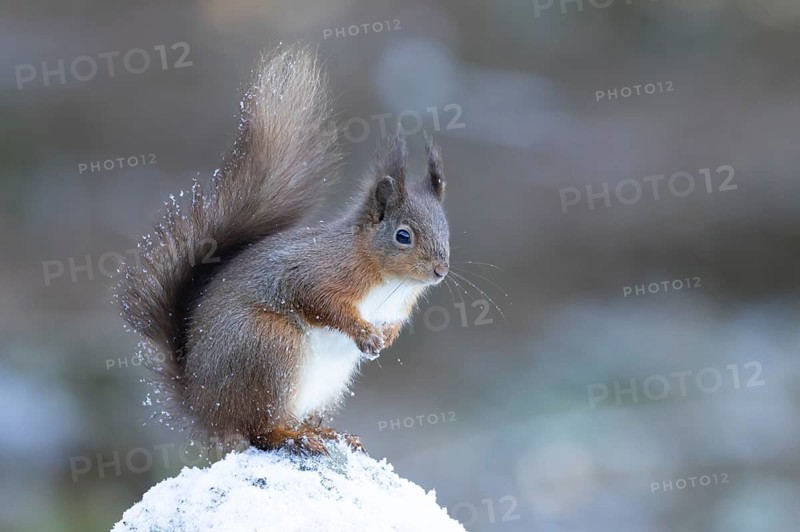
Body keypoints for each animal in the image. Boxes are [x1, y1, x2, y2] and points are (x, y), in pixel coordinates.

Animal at [117, 46, 450, 455]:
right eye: (403, 236)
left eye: (446, 228)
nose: (440, 270)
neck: (388, 280)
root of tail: (201, 407)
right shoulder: (316, 272)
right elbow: (319, 301)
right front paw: (364, 334)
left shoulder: (398, 308)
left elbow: (394, 324)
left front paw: (384, 339)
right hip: (270, 348)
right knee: (259, 431)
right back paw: (294, 437)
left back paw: (328, 433)